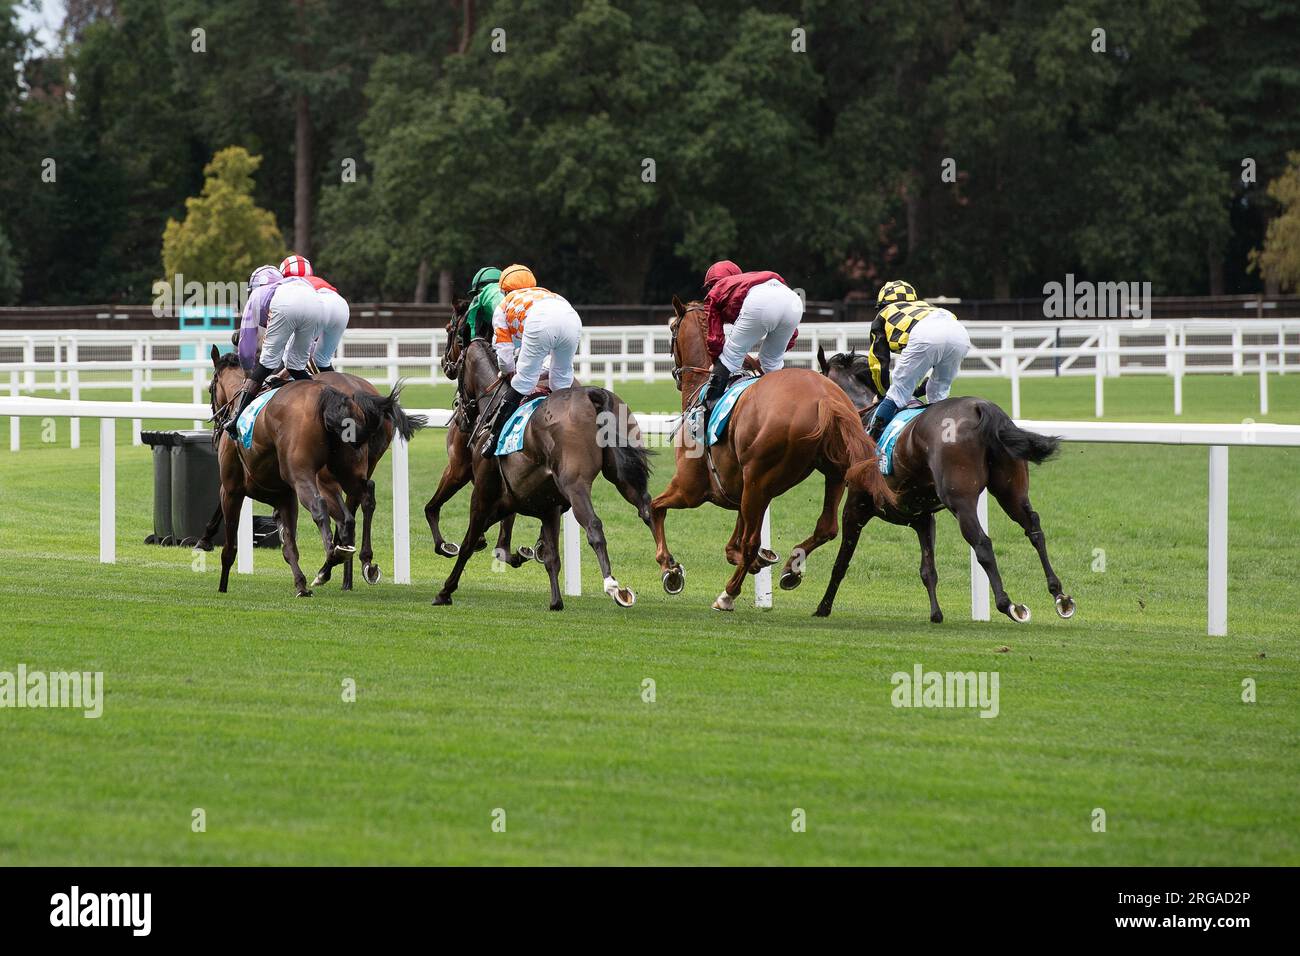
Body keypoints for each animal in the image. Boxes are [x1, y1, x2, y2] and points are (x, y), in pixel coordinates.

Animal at [205, 348, 423, 595]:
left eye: (211, 388)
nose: (218, 422)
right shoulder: (283, 495)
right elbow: (289, 543)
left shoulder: (232, 488)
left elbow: (230, 542)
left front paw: (218, 573)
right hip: (351, 468)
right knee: (362, 501)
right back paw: (358, 561)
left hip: (310, 475)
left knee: (326, 508)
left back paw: (332, 560)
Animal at [655, 299, 899, 613]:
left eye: (673, 328)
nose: (675, 372)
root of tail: (825, 399)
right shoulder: (743, 489)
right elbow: (735, 540)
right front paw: (763, 559)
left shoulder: (690, 489)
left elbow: (655, 508)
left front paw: (670, 570)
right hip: (831, 472)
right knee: (827, 527)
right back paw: (789, 569)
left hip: (758, 478)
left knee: (751, 542)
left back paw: (727, 595)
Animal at [811, 348, 1076, 624]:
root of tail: (982, 408)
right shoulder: (922, 518)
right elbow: (928, 569)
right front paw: (936, 614)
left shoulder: (856, 507)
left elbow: (841, 562)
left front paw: (823, 607)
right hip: (1010, 491)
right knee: (1033, 528)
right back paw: (1060, 596)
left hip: (960, 499)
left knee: (982, 542)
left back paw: (1008, 603)